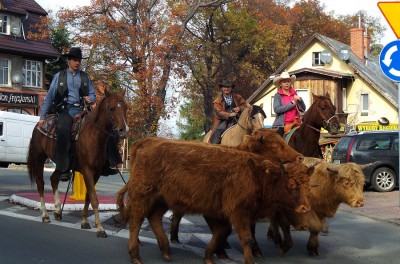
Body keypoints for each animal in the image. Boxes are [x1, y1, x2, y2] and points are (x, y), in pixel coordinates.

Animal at [27, 89, 127, 238]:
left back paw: (58, 211)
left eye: (126, 107)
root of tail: (39, 123)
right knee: (41, 184)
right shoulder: (87, 170)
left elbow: (88, 197)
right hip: (39, 159)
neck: (94, 135)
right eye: (112, 108)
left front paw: (85, 222)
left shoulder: (97, 172)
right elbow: (94, 199)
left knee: (54, 179)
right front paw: (100, 228)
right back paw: (45, 215)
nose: (123, 130)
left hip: (62, 163)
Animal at [117, 136, 318, 264]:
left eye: (308, 185)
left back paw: (166, 251)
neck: (258, 174)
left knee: (154, 217)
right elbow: (245, 238)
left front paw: (210, 255)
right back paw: (136, 255)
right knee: (136, 220)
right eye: (291, 184)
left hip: (162, 200)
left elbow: (221, 231)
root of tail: (146, 144)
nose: (305, 208)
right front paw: (249, 259)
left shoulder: (221, 212)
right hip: (143, 195)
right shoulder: (238, 212)